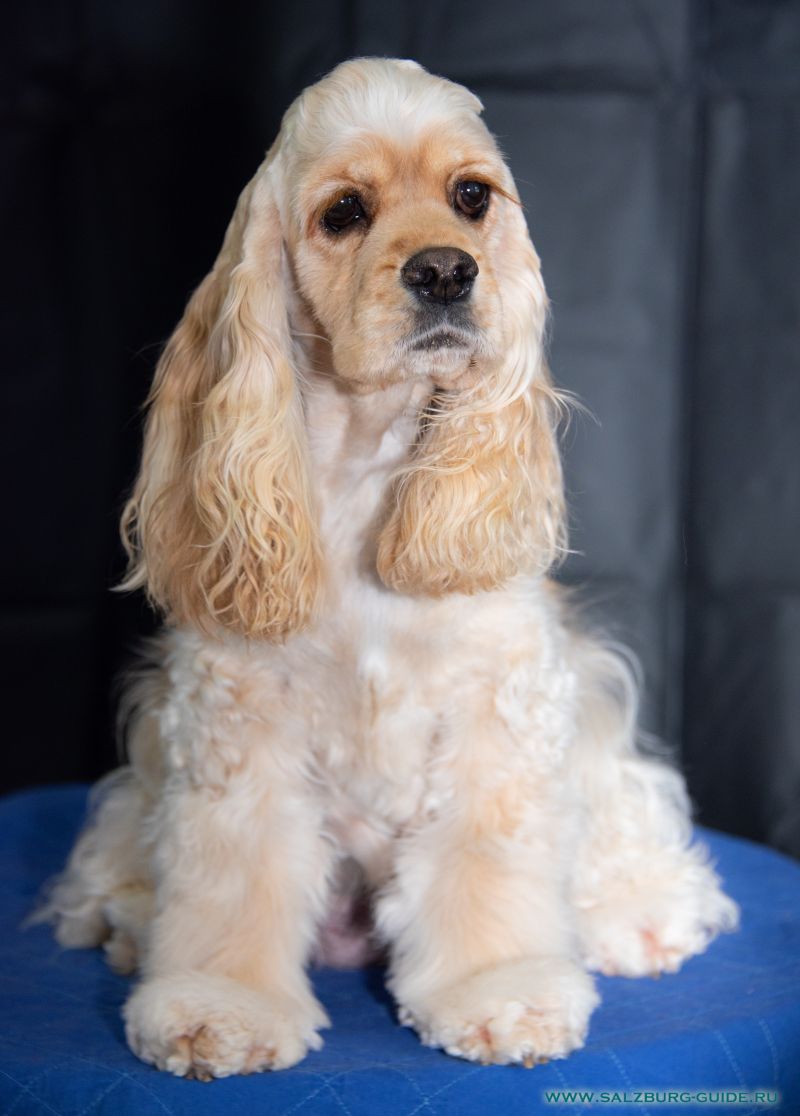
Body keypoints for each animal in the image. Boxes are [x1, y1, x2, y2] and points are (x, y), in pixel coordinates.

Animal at [45, 58, 736, 1080]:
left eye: (471, 196)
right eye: (343, 211)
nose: (446, 270)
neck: (367, 459)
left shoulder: (500, 702)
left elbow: (487, 858)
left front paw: (501, 992)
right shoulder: (235, 713)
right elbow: (233, 871)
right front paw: (219, 1008)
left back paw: (642, 917)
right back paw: (124, 920)